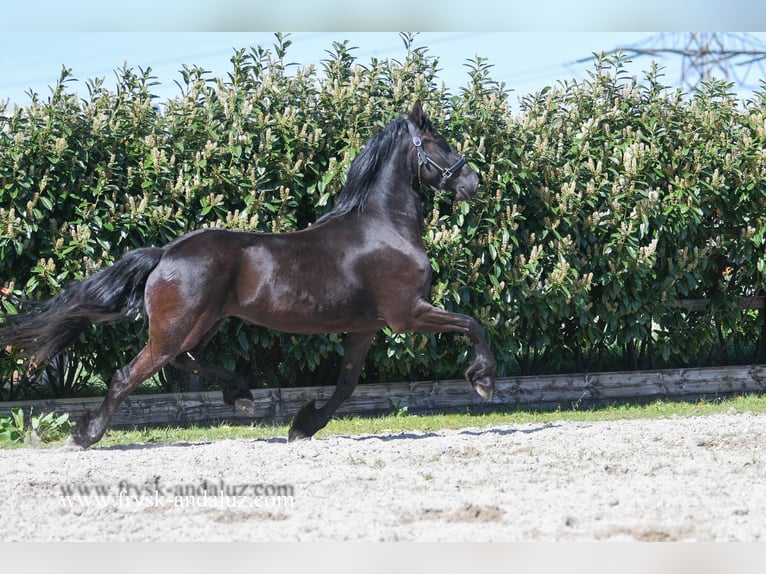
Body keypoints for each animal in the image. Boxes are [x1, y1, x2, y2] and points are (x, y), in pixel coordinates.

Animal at [0, 101, 498, 448]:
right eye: (439, 143)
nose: (472, 183)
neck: (383, 227)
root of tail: (165, 252)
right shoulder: (407, 313)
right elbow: (473, 324)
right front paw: (483, 380)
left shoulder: (365, 327)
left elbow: (346, 384)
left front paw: (303, 425)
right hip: (178, 327)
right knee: (130, 374)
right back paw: (86, 435)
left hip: (202, 323)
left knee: (185, 361)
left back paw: (240, 393)